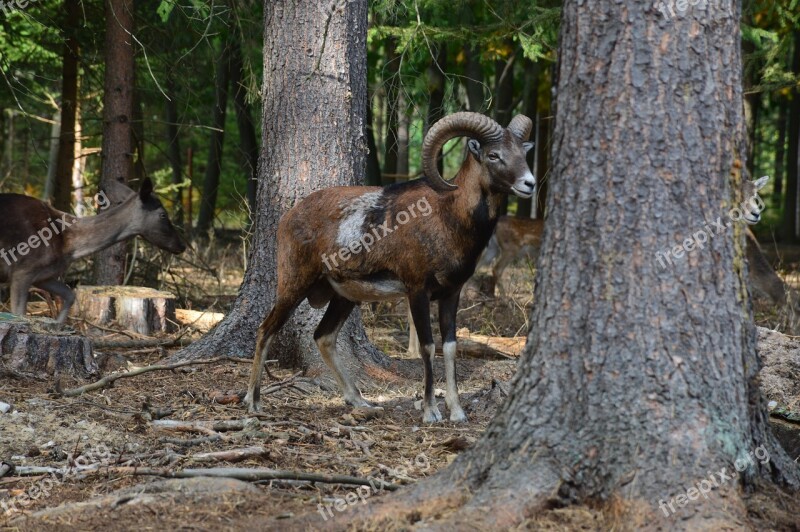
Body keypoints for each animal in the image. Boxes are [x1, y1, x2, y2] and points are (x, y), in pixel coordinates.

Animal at [0, 179, 184, 322]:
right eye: (163, 215)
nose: (182, 245)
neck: (70, 247)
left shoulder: (44, 276)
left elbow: (70, 295)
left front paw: (56, 325)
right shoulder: (23, 270)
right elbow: (19, 314)